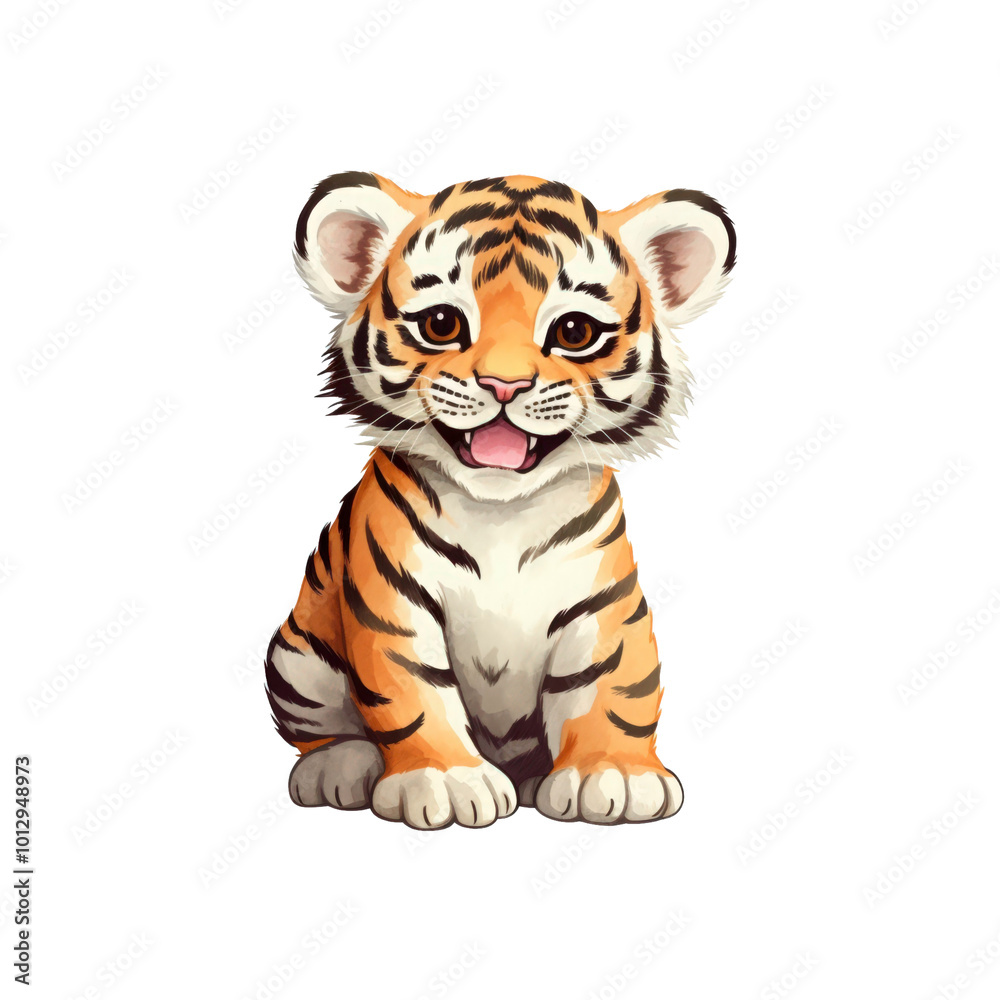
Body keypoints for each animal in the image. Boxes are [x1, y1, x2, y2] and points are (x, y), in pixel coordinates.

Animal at [265, 171, 736, 829]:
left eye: (573, 333)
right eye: (441, 323)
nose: (504, 385)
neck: (500, 512)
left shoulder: (601, 605)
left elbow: (615, 686)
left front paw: (614, 775)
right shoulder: (394, 604)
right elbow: (412, 693)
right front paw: (445, 781)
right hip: (297, 658)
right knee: (322, 731)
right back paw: (338, 769)